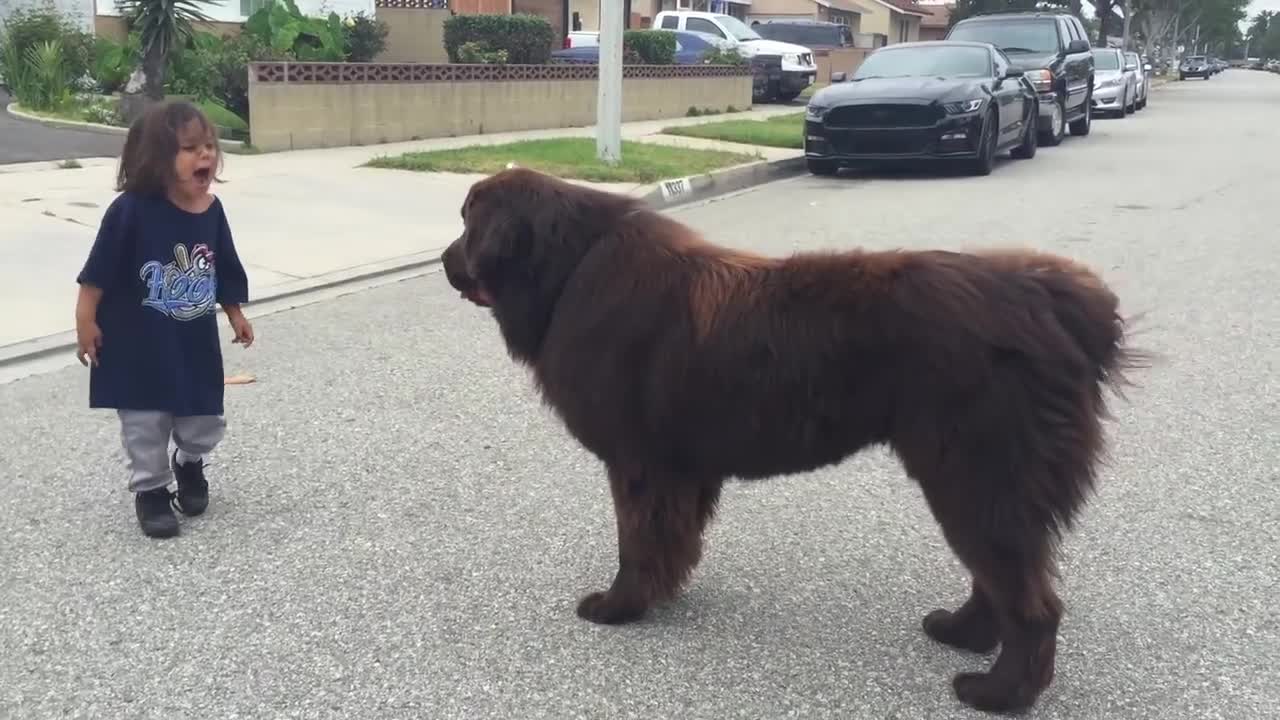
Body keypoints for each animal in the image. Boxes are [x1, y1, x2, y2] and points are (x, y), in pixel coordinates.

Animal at [440, 167, 1152, 712]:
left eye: (467, 222)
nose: (446, 261)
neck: (568, 271)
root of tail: (1055, 300)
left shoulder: (639, 462)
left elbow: (636, 542)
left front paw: (619, 607)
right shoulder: (679, 469)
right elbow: (671, 540)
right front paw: (664, 592)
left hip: (977, 472)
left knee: (1030, 600)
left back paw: (998, 693)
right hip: (976, 480)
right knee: (1000, 575)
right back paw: (961, 633)